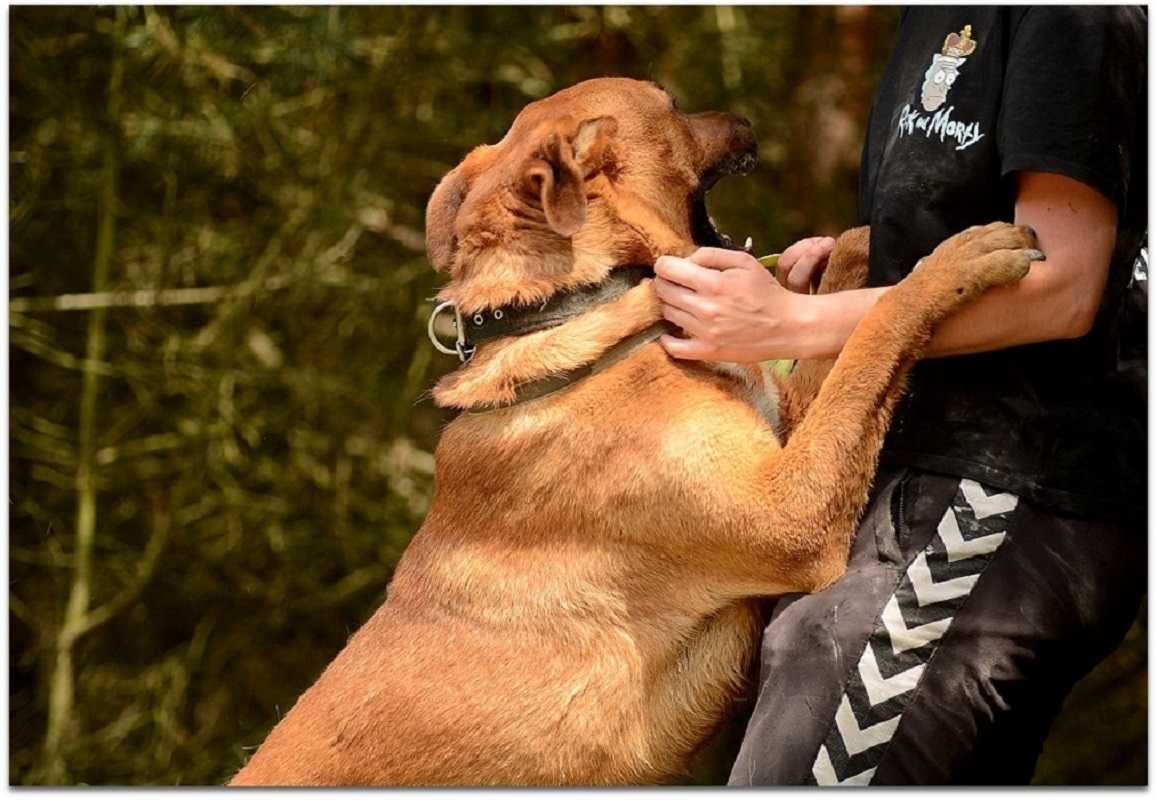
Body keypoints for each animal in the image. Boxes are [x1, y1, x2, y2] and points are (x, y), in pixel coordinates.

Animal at [230, 78, 1036, 787]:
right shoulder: (792, 518)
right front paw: (954, 260)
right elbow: (874, 334)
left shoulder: (784, 444)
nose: (746, 118)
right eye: (671, 105)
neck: (581, 304)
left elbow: (836, 338)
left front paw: (851, 246)